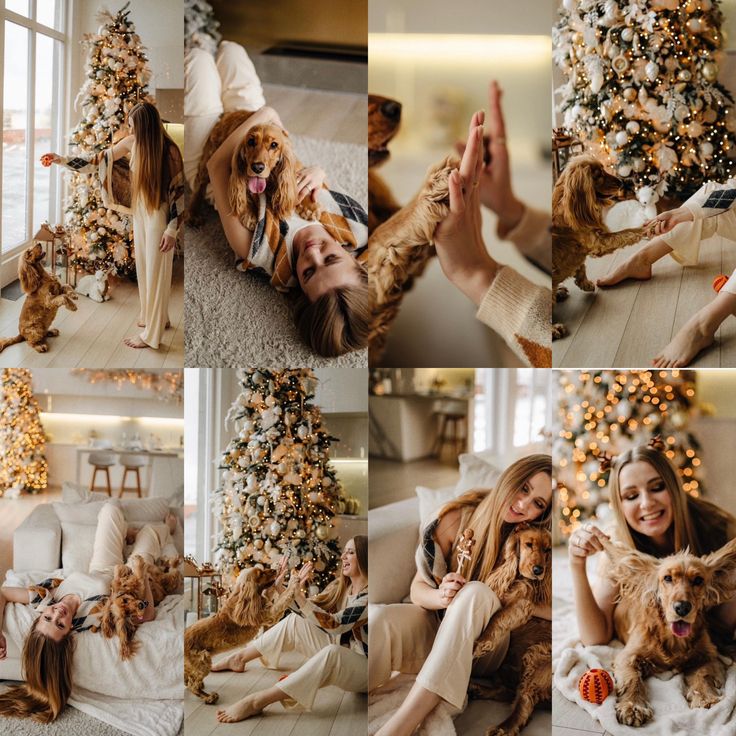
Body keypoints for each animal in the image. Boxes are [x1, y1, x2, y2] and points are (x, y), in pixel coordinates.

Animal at [600, 532, 736, 728]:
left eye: (698, 580)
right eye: (667, 578)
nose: (682, 608)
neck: (673, 639)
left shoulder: (708, 654)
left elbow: (703, 674)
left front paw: (704, 696)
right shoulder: (627, 656)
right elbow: (632, 679)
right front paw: (633, 706)